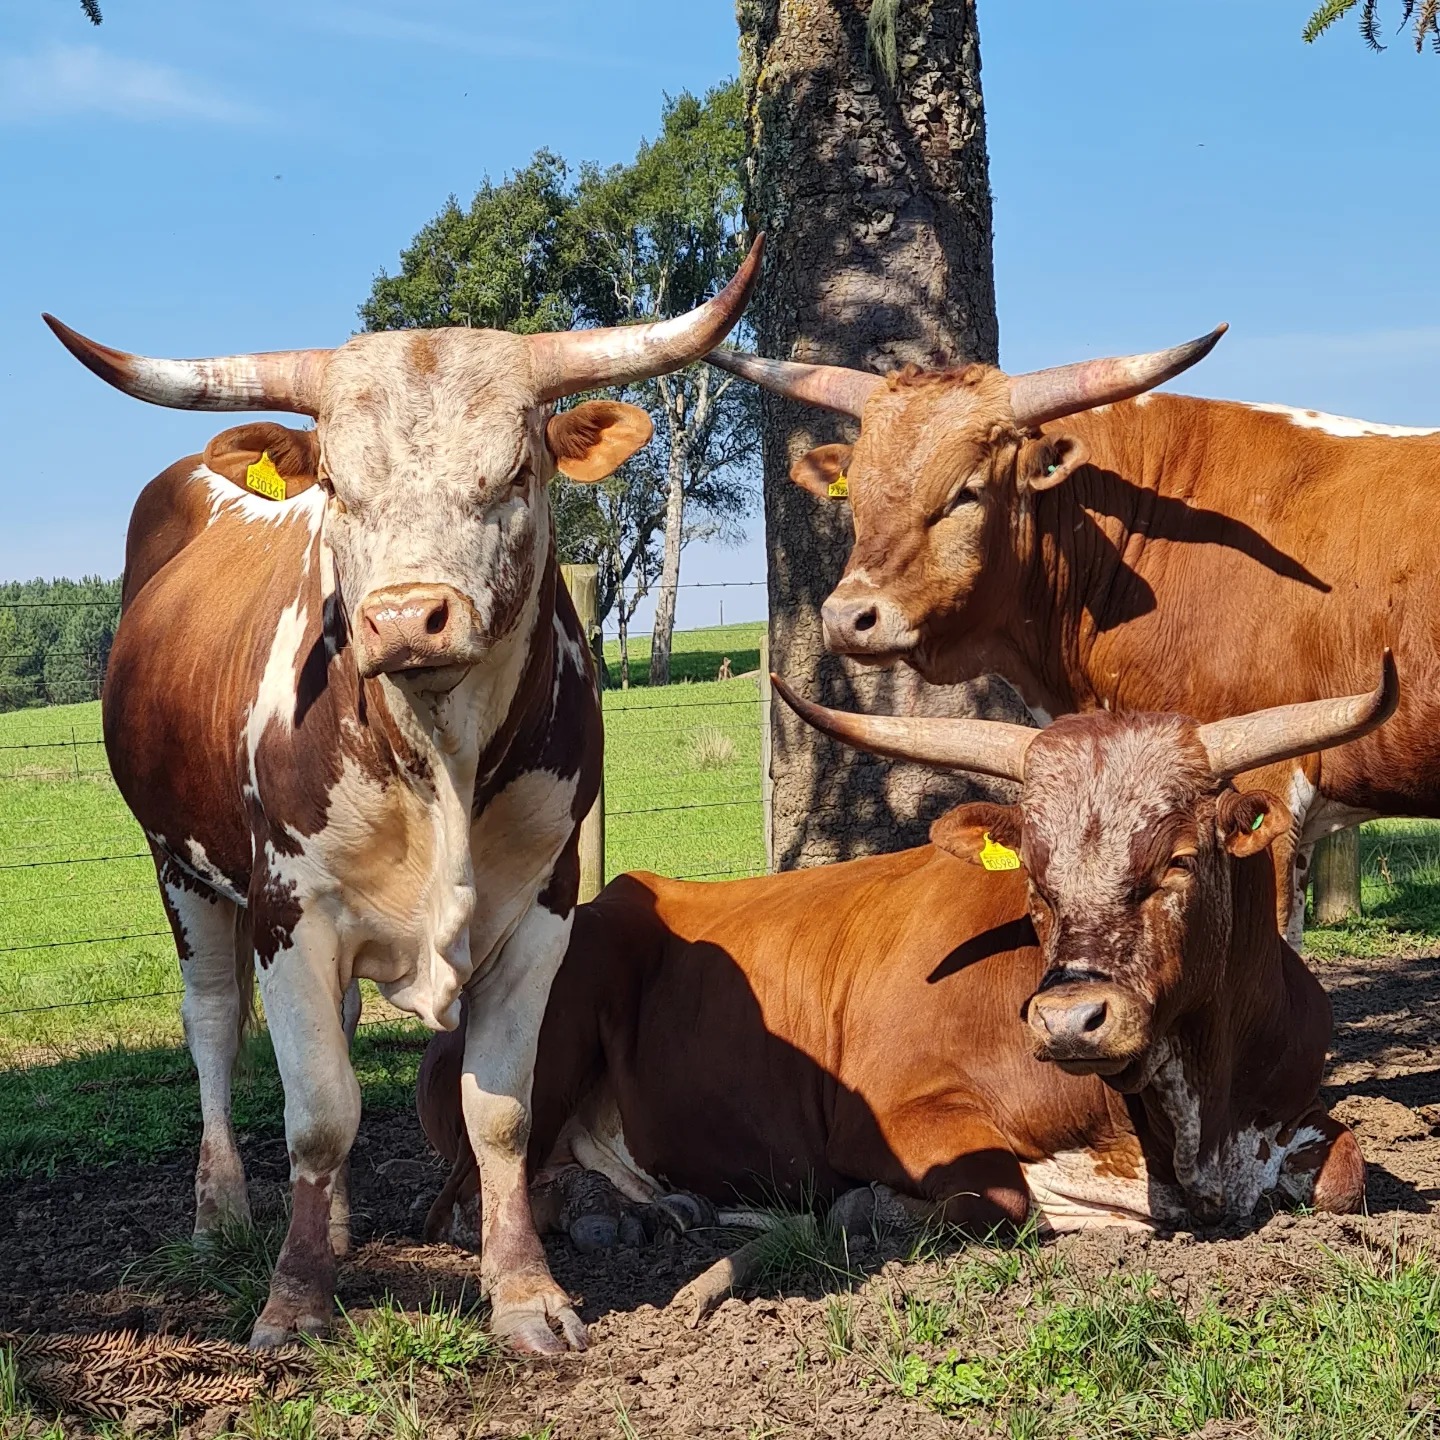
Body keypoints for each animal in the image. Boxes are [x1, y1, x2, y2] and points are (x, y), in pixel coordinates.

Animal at [39, 236, 760, 1347]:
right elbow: (318, 1113)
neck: (436, 753)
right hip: (181, 870)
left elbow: (499, 1115)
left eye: (517, 472)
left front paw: (525, 1293)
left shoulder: (541, 913)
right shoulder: (290, 911)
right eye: (338, 483)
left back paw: (332, 1224)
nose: (404, 619)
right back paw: (224, 1211)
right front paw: (295, 1301)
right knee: (215, 1028)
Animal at [417, 662, 1393, 1272]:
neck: (1190, 1120)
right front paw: (862, 1211)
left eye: (1179, 862)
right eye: (1034, 876)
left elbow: (1349, 1173)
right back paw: (615, 1213)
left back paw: (652, 1206)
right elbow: (1000, 1199)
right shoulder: (889, 1117)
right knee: (471, 1199)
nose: (1069, 1020)